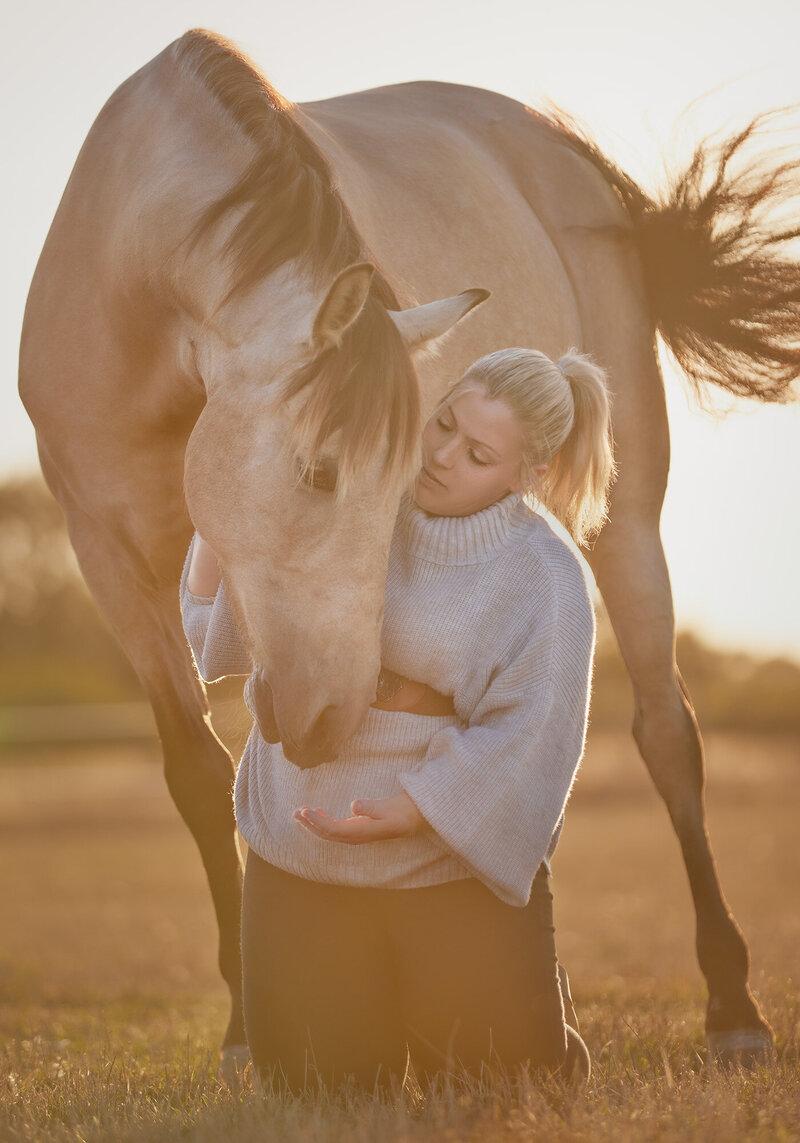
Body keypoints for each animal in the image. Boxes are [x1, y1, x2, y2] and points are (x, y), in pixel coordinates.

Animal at [19, 27, 799, 1074]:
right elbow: (197, 772)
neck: (128, 274)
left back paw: (731, 1008)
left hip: (628, 515)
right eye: (319, 472)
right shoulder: (108, 552)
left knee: (666, 734)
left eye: (399, 490)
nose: (330, 717)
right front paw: (242, 1028)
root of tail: (556, 149)